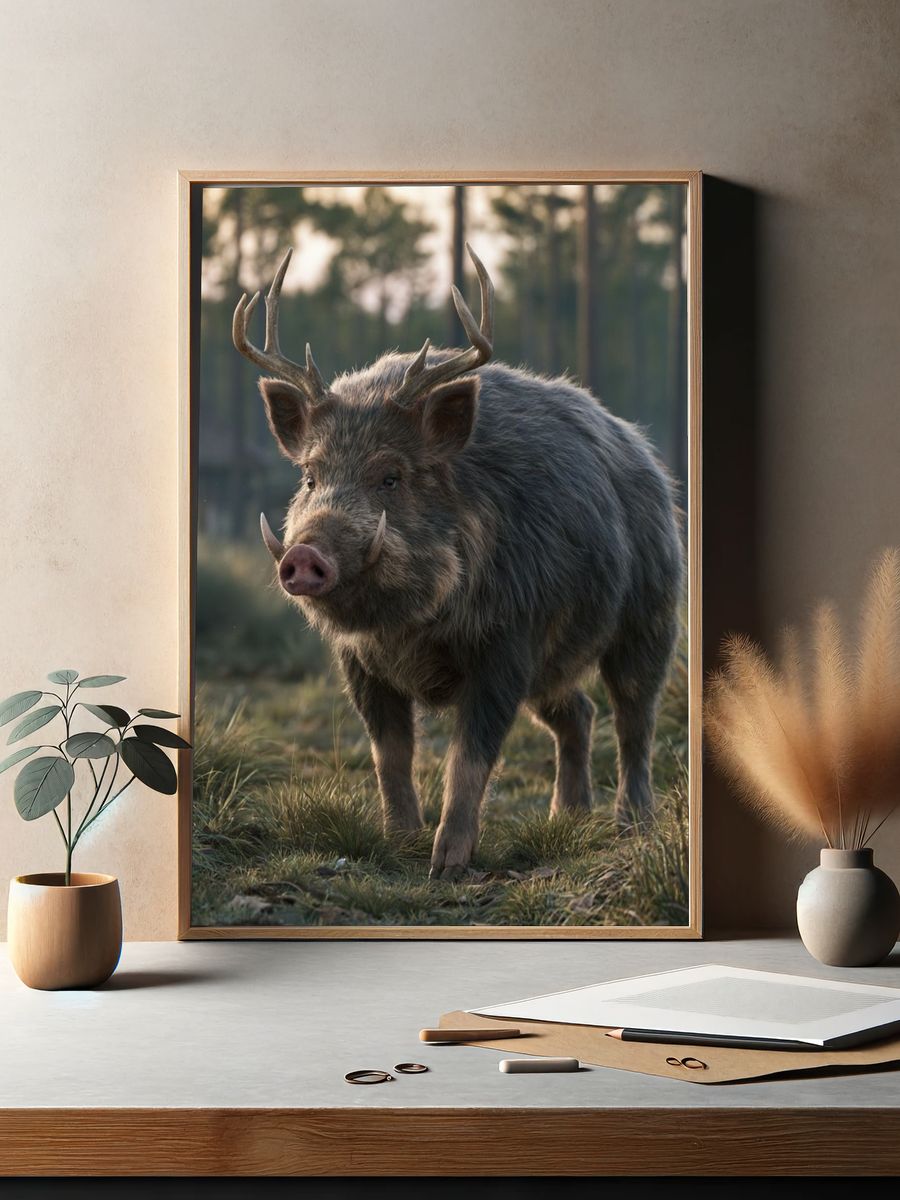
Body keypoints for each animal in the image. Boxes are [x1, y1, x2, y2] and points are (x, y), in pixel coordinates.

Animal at [233, 244, 682, 879]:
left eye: (391, 476)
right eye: (311, 476)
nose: (304, 554)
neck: (406, 628)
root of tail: (647, 457)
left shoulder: (507, 642)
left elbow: (468, 758)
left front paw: (446, 865)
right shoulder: (359, 663)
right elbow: (390, 756)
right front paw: (400, 843)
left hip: (650, 615)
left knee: (633, 717)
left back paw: (630, 825)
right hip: (555, 665)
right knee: (579, 711)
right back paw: (567, 820)